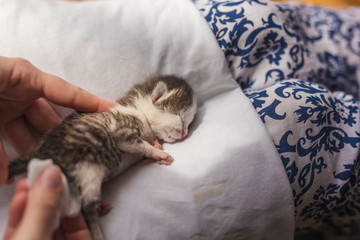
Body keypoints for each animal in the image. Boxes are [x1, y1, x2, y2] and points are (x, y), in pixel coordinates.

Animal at [7, 75, 197, 240]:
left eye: (188, 123)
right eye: (180, 118)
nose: (184, 134)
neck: (137, 110)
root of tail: (43, 153)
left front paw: (156, 144)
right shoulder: (122, 132)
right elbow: (142, 145)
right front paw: (159, 153)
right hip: (88, 174)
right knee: (87, 211)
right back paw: (97, 231)